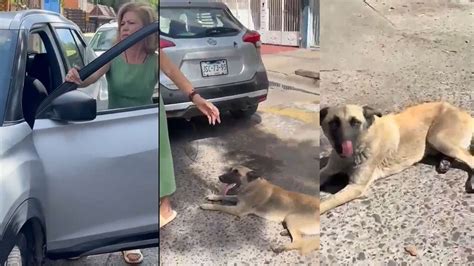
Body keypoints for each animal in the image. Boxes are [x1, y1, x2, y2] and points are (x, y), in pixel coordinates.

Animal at [318, 101, 474, 215]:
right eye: (333, 123)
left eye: (355, 122)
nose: (343, 145)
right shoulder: (327, 171)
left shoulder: (355, 186)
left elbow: (327, 201)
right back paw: (444, 163)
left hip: (437, 138)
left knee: (470, 159)